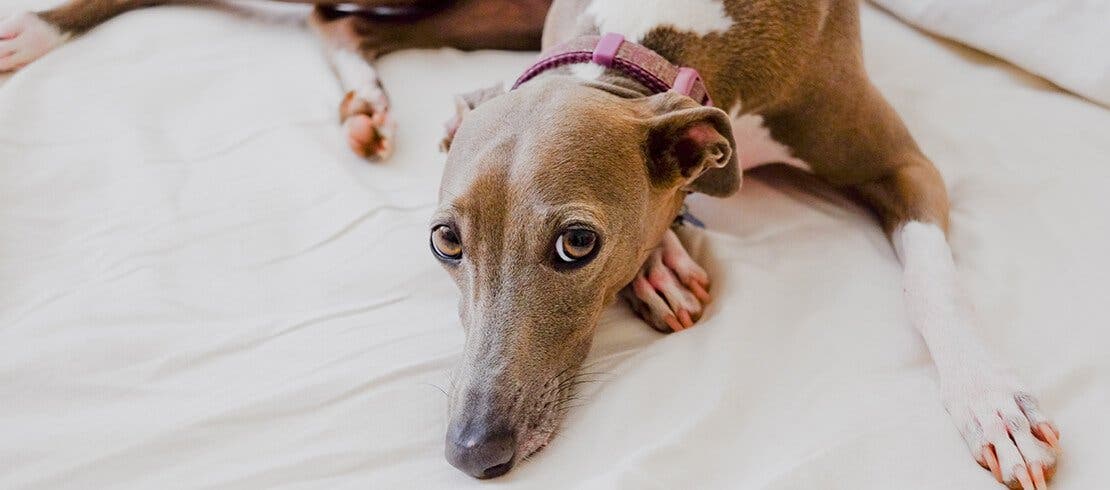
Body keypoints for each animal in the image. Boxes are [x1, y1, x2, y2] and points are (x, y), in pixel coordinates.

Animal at [6, 0, 1065, 484]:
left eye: (576, 245)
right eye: (445, 242)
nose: (471, 451)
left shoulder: (901, 165)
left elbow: (932, 280)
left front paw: (991, 404)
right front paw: (667, 255)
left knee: (340, 18)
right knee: (334, 14)